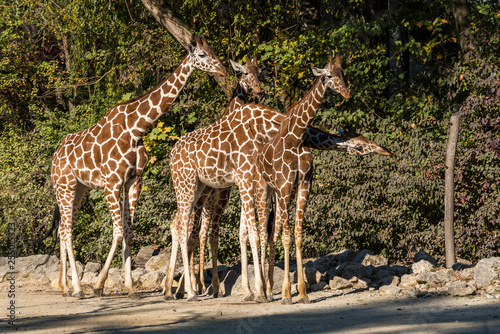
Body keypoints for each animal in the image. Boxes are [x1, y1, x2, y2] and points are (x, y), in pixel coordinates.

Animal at [49, 35, 226, 298]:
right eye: (202, 55)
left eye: (213, 49)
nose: (223, 70)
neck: (136, 128)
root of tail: (55, 156)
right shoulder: (111, 183)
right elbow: (117, 232)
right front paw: (99, 285)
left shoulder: (134, 181)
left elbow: (129, 231)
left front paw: (130, 287)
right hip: (65, 185)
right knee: (67, 231)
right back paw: (78, 288)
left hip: (80, 189)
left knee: (63, 228)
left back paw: (64, 286)